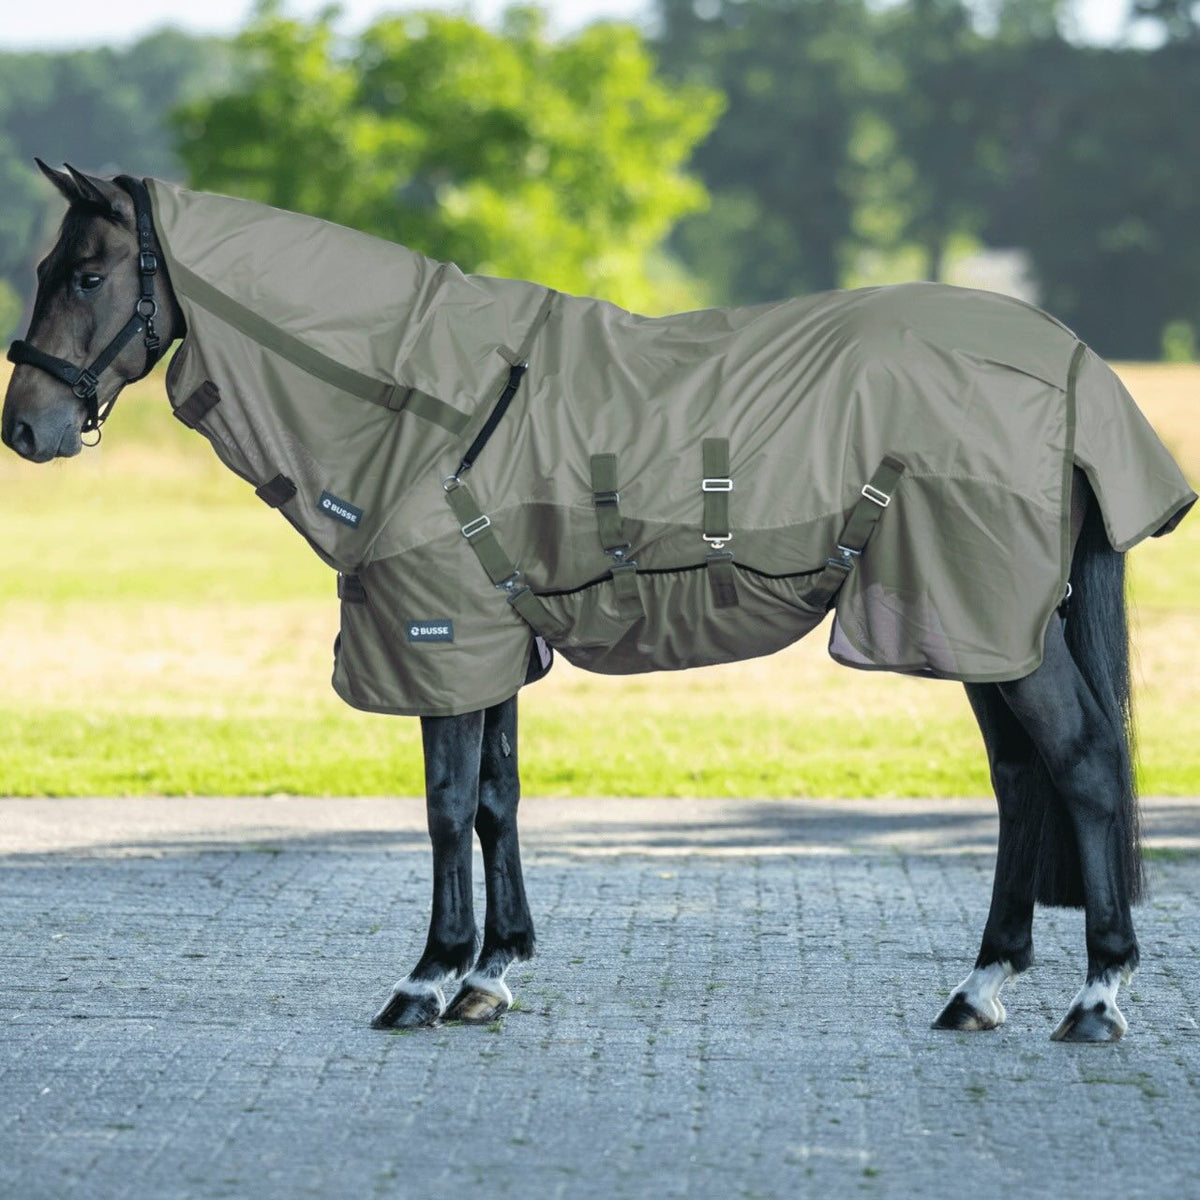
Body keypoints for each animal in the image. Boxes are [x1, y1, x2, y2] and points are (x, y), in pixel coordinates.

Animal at [3, 162, 1194, 1042]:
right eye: (51, 266)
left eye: (88, 274)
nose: (26, 427)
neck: (427, 400)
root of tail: (1071, 367)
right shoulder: (489, 637)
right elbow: (497, 797)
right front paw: (492, 973)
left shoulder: (442, 634)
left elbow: (444, 806)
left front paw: (428, 979)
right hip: (974, 623)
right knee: (1022, 783)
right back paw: (982, 987)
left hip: (991, 618)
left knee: (1084, 764)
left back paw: (1097, 998)